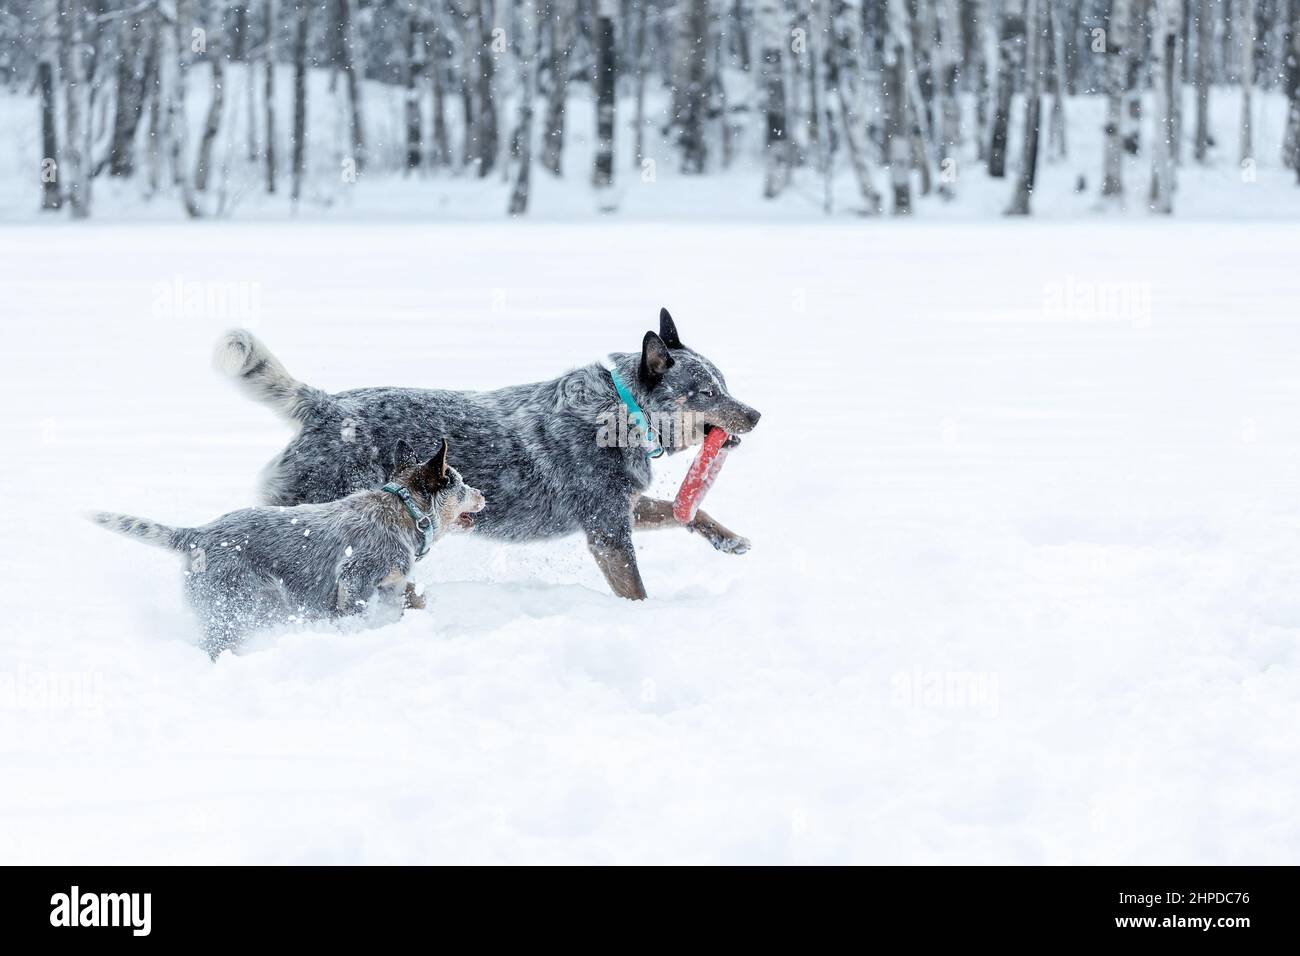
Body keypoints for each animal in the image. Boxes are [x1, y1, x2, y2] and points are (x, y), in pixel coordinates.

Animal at [90, 442, 488, 658]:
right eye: (460, 483)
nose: (483, 494)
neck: (404, 510)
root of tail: (197, 535)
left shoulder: (394, 584)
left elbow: (411, 598)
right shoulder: (356, 581)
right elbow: (357, 617)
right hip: (238, 605)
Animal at [213, 310, 759, 600]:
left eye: (725, 384)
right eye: (707, 393)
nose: (756, 415)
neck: (621, 410)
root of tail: (325, 404)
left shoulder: (621, 507)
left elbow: (689, 512)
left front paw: (729, 540)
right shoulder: (606, 531)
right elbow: (637, 589)